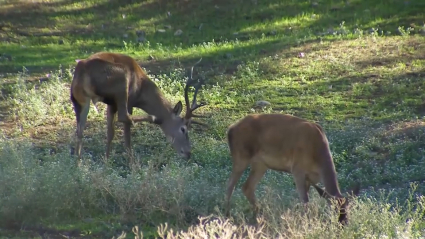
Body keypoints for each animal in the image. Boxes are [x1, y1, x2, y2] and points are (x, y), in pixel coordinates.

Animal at [69, 52, 207, 164]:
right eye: (183, 129)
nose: (188, 153)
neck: (141, 90)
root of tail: (82, 69)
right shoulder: (128, 101)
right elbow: (126, 136)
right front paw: (131, 166)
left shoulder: (111, 104)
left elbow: (110, 133)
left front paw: (106, 163)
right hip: (122, 82)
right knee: (124, 117)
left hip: (79, 100)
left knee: (79, 130)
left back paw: (78, 164)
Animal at [224, 113, 360, 224]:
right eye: (333, 208)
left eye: (348, 207)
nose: (343, 222)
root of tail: (231, 129)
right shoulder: (297, 169)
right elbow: (304, 200)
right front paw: (306, 222)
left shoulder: (310, 178)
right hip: (241, 156)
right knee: (230, 185)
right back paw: (228, 215)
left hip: (260, 164)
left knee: (247, 186)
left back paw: (259, 214)